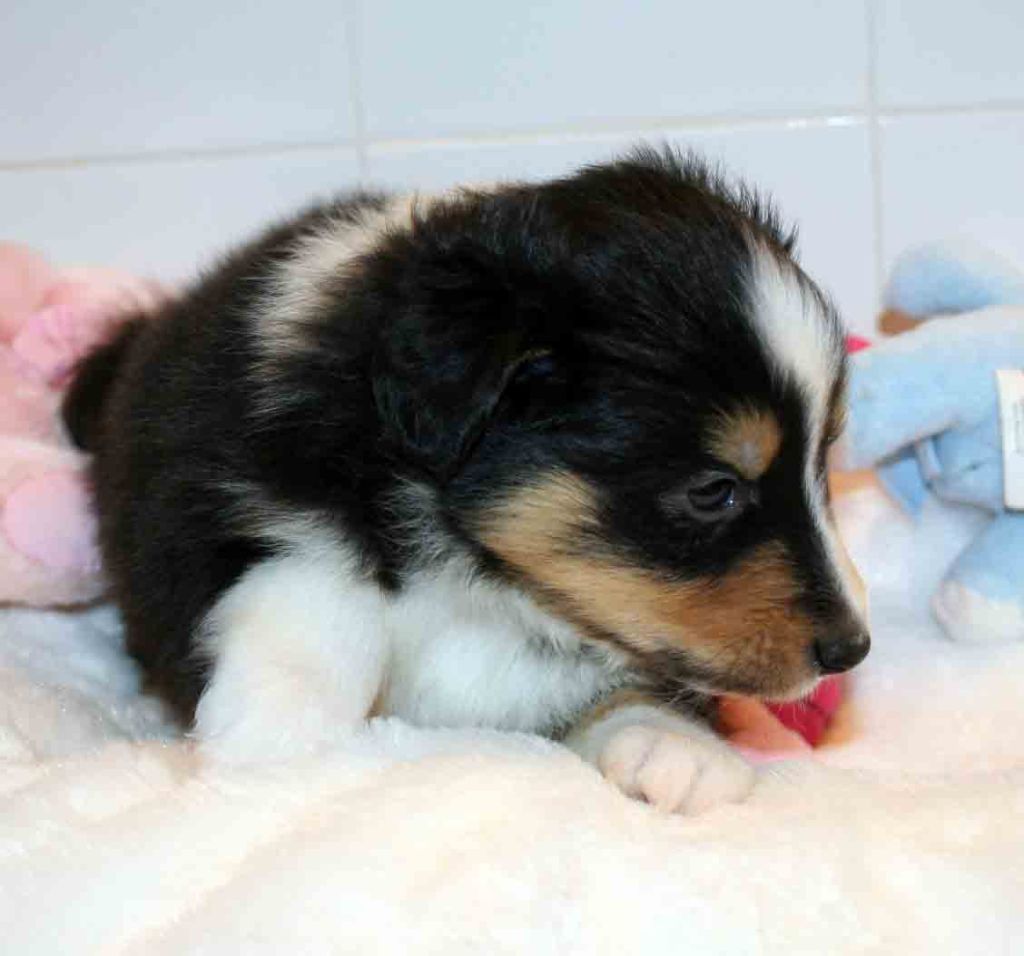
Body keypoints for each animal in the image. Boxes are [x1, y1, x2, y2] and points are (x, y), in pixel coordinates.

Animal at [64, 147, 869, 814]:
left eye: (822, 462)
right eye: (712, 490)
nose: (851, 651)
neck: (482, 584)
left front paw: (675, 748)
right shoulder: (253, 499)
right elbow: (315, 599)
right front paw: (277, 743)